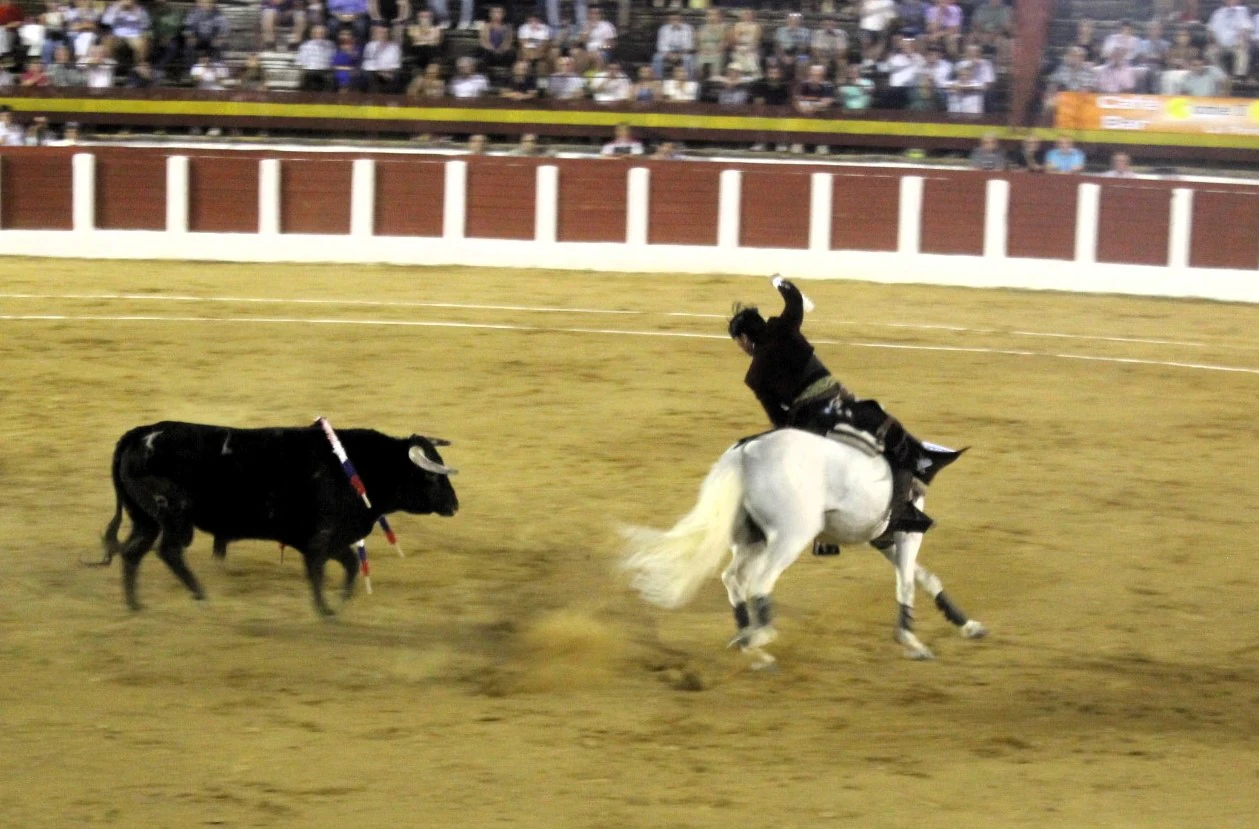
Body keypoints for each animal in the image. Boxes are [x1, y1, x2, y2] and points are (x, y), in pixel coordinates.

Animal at [98, 423, 460, 609]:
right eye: (431, 477)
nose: (455, 506)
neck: (359, 466)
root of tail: (139, 435)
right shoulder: (321, 538)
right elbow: (320, 571)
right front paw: (326, 610)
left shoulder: (330, 539)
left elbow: (349, 564)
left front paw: (341, 600)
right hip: (174, 518)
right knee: (169, 551)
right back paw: (200, 595)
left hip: (144, 519)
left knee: (132, 552)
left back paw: (135, 604)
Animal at [624, 428, 987, 660]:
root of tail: (745, 453)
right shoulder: (907, 534)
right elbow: (908, 583)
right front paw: (912, 642)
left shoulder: (882, 540)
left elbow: (924, 578)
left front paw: (967, 624)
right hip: (791, 536)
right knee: (759, 583)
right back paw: (759, 638)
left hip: (751, 540)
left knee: (733, 578)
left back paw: (748, 641)